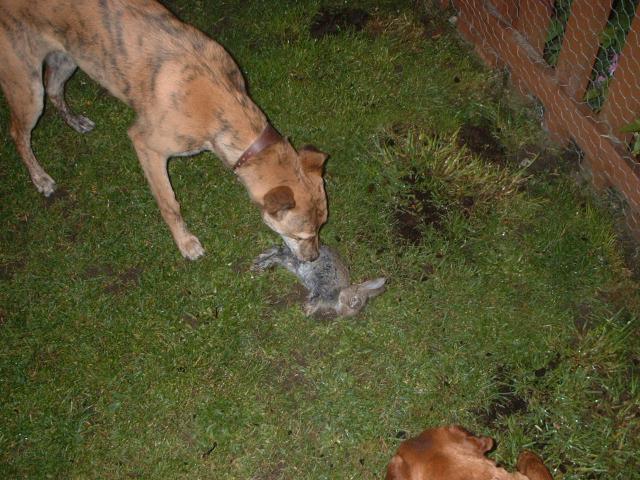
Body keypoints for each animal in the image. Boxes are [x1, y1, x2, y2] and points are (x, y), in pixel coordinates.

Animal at [0, 0, 328, 261]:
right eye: (301, 235)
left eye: (322, 226)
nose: (314, 258)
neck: (222, 104)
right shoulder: (147, 144)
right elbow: (170, 203)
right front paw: (186, 243)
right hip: (27, 87)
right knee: (19, 133)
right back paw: (41, 179)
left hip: (69, 57)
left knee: (55, 89)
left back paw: (76, 121)